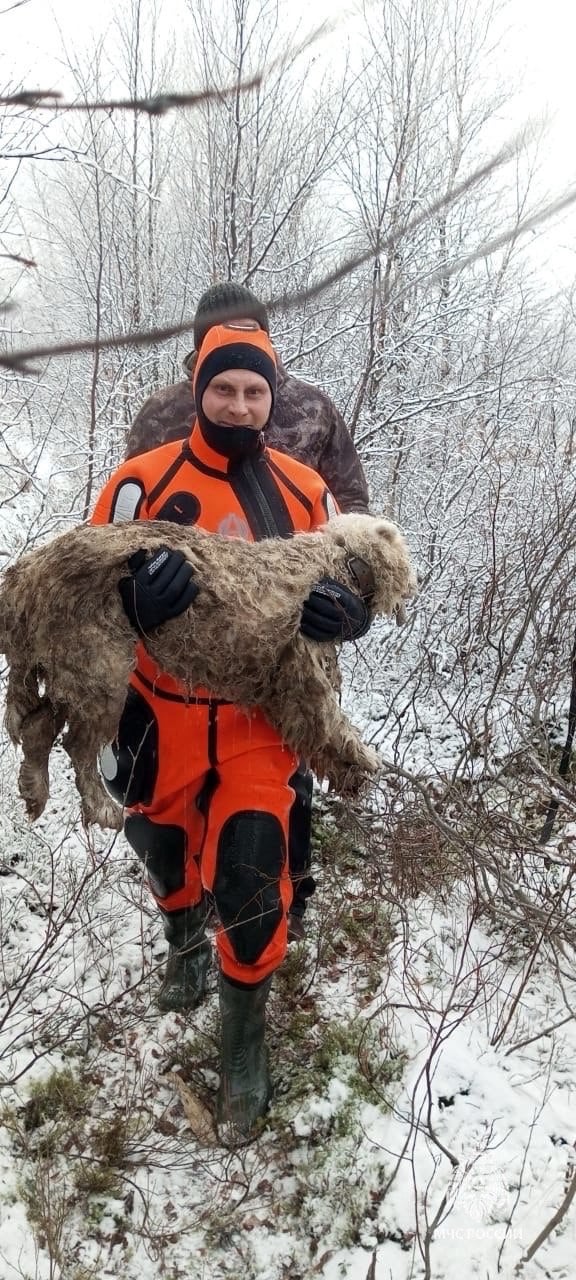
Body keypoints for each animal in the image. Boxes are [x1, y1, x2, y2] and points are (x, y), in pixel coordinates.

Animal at [0, 512, 414, 829]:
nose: (416, 583)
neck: (336, 562)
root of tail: (24, 575)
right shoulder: (304, 666)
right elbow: (328, 720)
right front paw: (361, 758)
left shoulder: (282, 683)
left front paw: (350, 772)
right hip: (99, 664)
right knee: (77, 744)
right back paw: (101, 807)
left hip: (67, 664)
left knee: (39, 726)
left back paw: (35, 789)